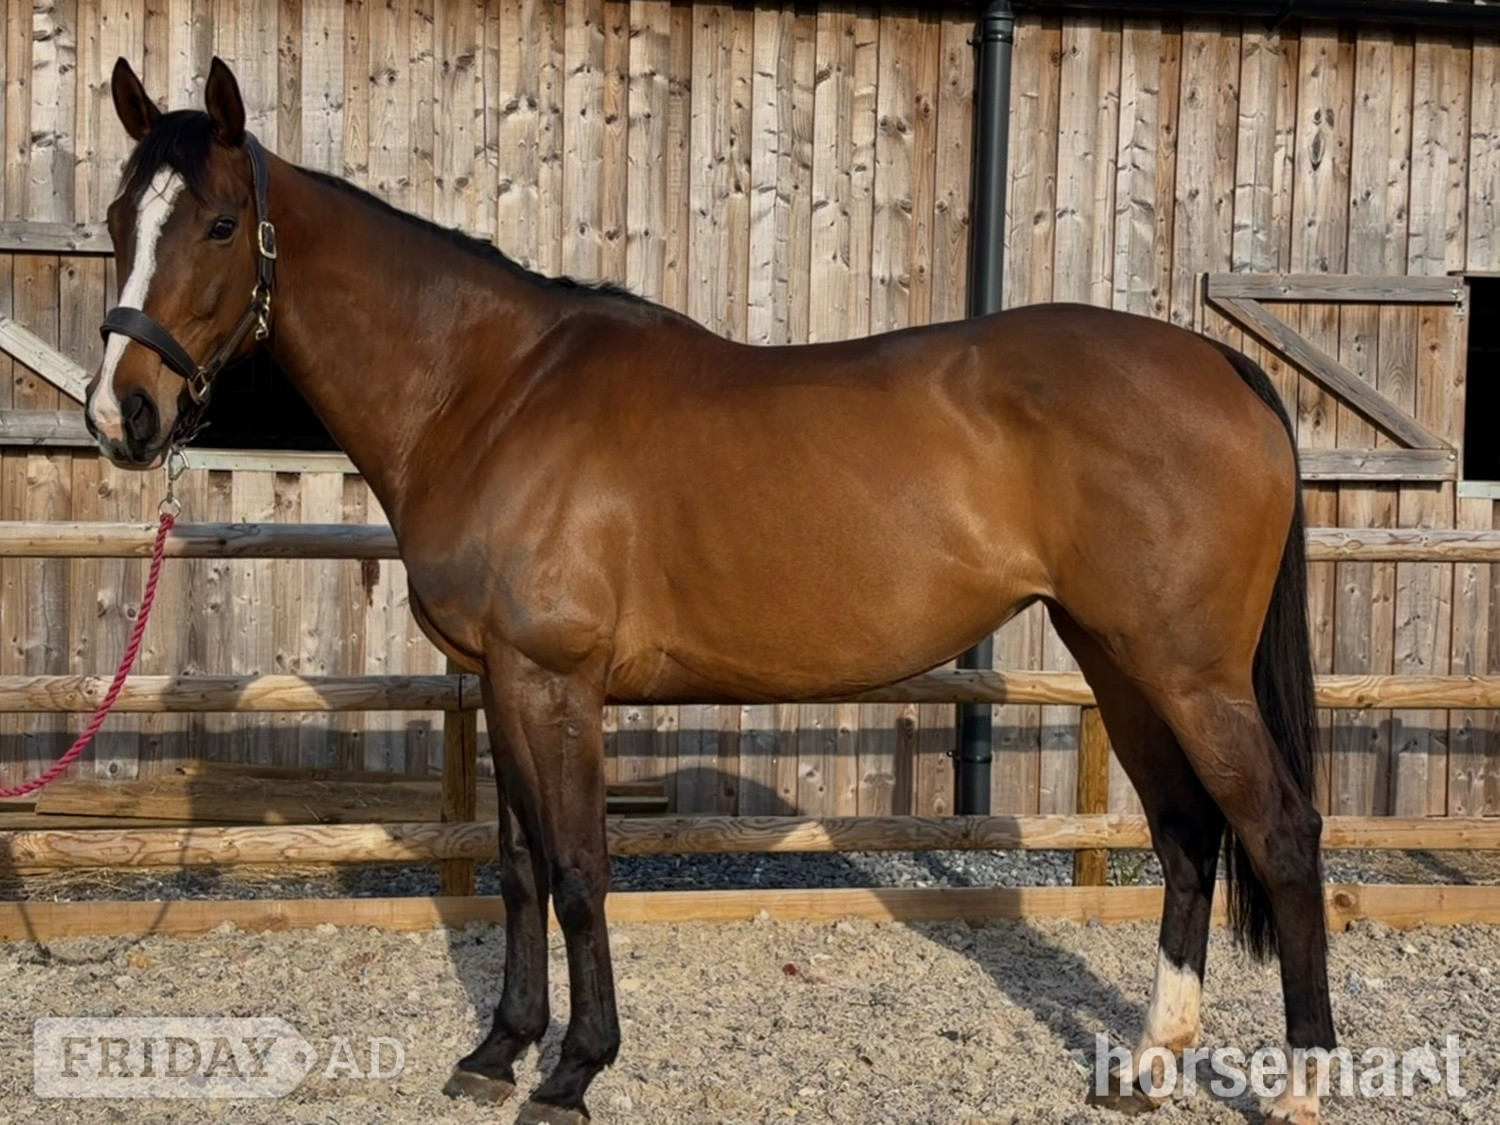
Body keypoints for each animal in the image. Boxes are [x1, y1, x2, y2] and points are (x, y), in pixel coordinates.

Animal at [84, 56, 1334, 1125]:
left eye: (220, 223)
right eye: (115, 220)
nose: (121, 413)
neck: (487, 393)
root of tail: (1219, 360)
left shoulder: (555, 683)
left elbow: (581, 870)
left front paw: (574, 1069)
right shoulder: (501, 683)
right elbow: (520, 869)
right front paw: (499, 1050)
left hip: (1187, 672)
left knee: (1278, 829)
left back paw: (1301, 1082)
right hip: (1119, 658)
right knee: (1187, 834)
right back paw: (1149, 1065)